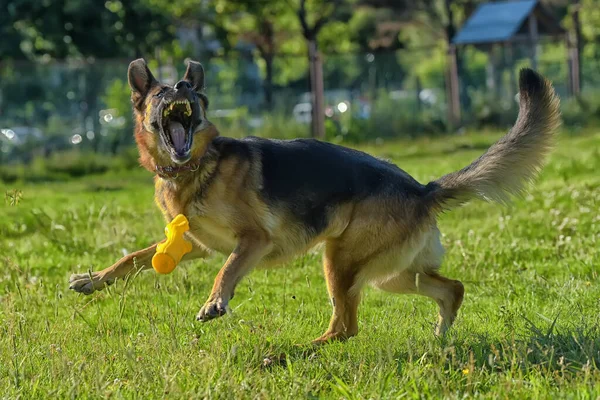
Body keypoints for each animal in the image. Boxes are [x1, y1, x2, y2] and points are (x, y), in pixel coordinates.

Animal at [71, 59, 564, 344]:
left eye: (187, 91)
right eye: (160, 95)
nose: (179, 87)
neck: (195, 167)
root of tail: (421, 189)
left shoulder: (251, 241)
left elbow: (225, 271)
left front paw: (215, 302)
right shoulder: (193, 243)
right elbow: (135, 257)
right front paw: (94, 280)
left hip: (340, 263)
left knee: (346, 327)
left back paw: (295, 352)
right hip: (390, 274)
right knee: (451, 289)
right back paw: (438, 340)